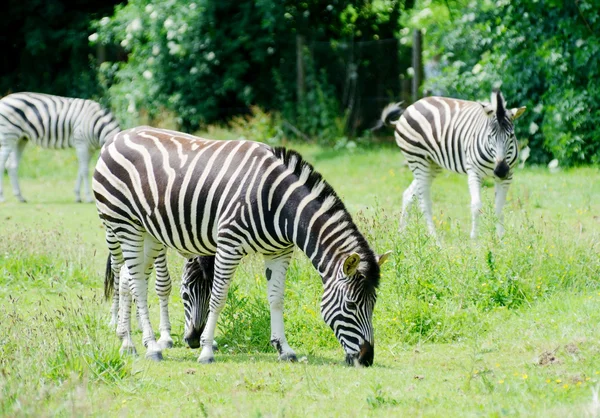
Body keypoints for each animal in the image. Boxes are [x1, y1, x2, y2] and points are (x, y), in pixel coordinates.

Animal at [94, 126, 392, 366]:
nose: (367, 359)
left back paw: (128, 343)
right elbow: (219, 297)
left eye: (373, 304)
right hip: (123, 225)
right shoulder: (229, 244)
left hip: (147, 232)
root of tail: (117, 136)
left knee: (127, 278)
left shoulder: (280, 251)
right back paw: (152, 347)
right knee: (137, 284)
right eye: (352, 305)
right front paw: (206, 352)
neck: (279, 203)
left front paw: (284, 349)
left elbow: (276, 298)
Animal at [384, 90, 524, 240]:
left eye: (511, 135)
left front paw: (500, 240)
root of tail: (411, 107)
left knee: (408, 194)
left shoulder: (507, 177)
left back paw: (401, 234)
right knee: (424, 203)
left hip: (431, 165)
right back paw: (435, 239)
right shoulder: (474, 172)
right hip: (418, 160)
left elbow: (499, 209)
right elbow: (476, 206)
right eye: (489, 136)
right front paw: (475, 241)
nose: (501, 171)